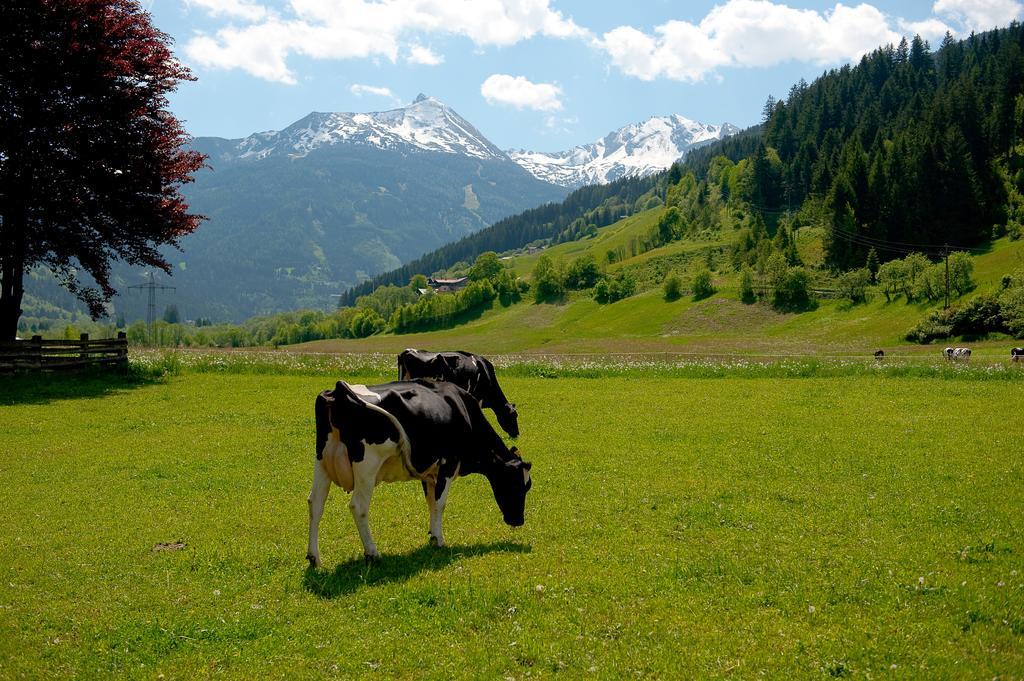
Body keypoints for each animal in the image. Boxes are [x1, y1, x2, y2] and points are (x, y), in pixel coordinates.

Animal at [305, 376, 532, 561]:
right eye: (518, 485)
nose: (519, 520)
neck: (463, 411)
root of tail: (337, 391)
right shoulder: (448, 464)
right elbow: (440, 503)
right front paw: (439, 540)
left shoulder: (429, 473)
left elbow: (431, 502)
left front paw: (432, 535)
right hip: (367, 466)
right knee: (358, 507)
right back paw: (372, 552)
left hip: (321, 462)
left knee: (315, 503)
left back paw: (314, 557)